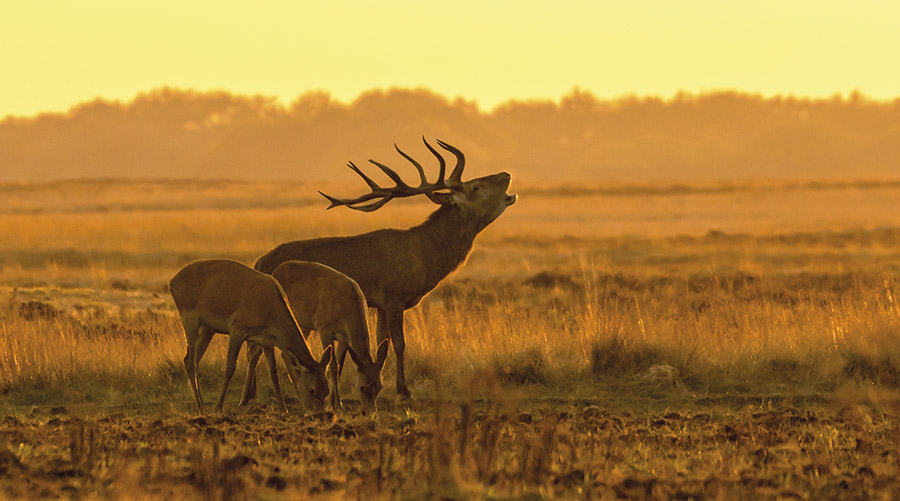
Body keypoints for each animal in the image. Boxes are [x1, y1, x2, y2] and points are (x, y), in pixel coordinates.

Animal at [169, 259, 332, 413]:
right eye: (311, 390)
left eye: (326, 391)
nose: (316, 413)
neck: (270, 310)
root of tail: (172, 282)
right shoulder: (236, 330)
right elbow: (229, 368)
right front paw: (218, 407)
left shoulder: (267, 342)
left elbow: (274, 373)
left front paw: (283, 408)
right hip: (190, 320)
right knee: (190, 362)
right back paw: (201, 407)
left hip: (208, 329)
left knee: (190, 359)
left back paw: (201, 403)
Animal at [238, 261, 390, 412]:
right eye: (362, 387)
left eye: (379, 387)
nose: (370, 410)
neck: (348, 309)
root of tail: (275, 272)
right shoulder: (325, 328)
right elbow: (333, 366)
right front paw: (337, 404)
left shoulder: (344, 338)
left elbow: (339, 365)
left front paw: (334, 402)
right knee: (256, 352)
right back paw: (244, 400)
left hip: (302, 325)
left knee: (283, 354)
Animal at [253, 138, 517, 399]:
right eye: (476, 186)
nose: (506, 173)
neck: (427, 256)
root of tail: (260, 262)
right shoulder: (394, 296)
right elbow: (399, 343)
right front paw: (403, 390)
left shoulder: (379, 304)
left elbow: (383, 343)